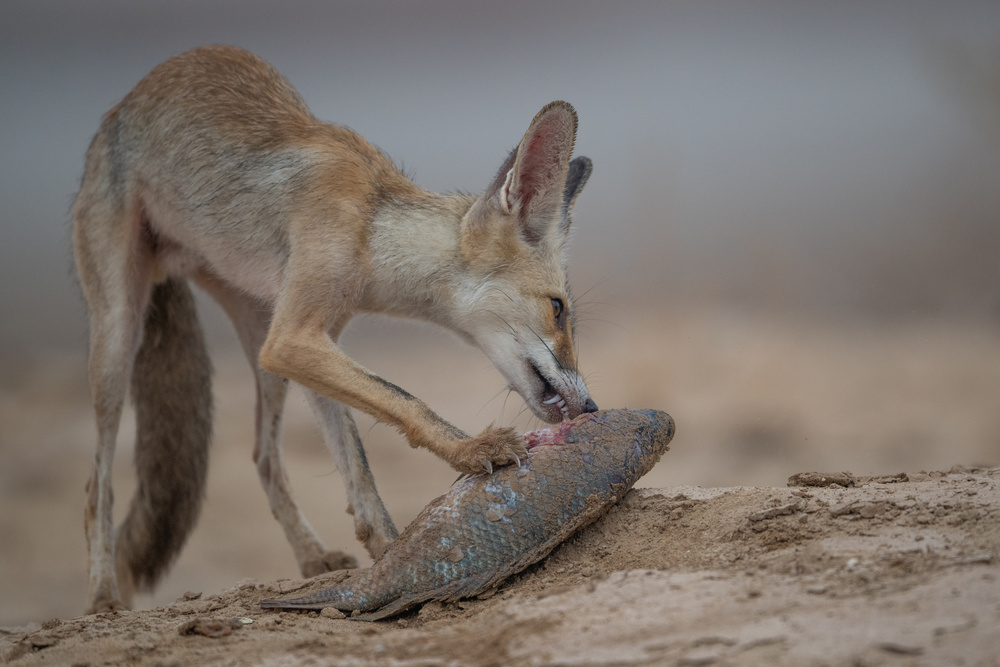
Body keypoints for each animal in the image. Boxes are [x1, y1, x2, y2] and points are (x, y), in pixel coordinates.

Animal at [74, 44, 596, 612]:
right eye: (559, 309)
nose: (592, 407)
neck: (371, 230)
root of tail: (123, 103)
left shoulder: (311, 337)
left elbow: (358, 466)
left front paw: (394, 554)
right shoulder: (297, 337)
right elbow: (404, 401)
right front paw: (472, 450)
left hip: (262, 333)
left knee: (264, 457)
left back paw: (312, 557)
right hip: (119, 335)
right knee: (98, 487)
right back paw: (102, 593)